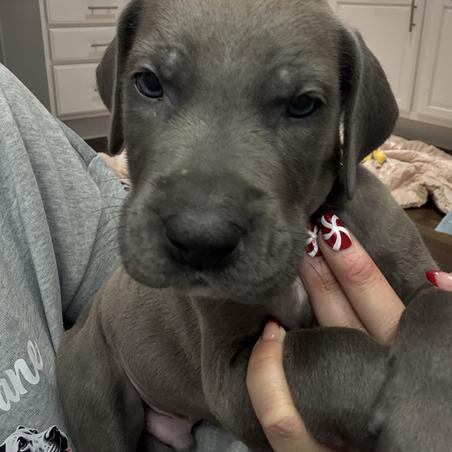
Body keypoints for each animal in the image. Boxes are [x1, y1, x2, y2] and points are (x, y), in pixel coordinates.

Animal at [57, 0, 452, 451]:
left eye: (304, 104)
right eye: (149, 83)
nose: (200, 238)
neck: (307, 235)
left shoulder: (416, 272)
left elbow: (438, 305)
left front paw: (430, 409)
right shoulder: (231, 379)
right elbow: (323, 351)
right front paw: (418, 424)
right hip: (96, 388)